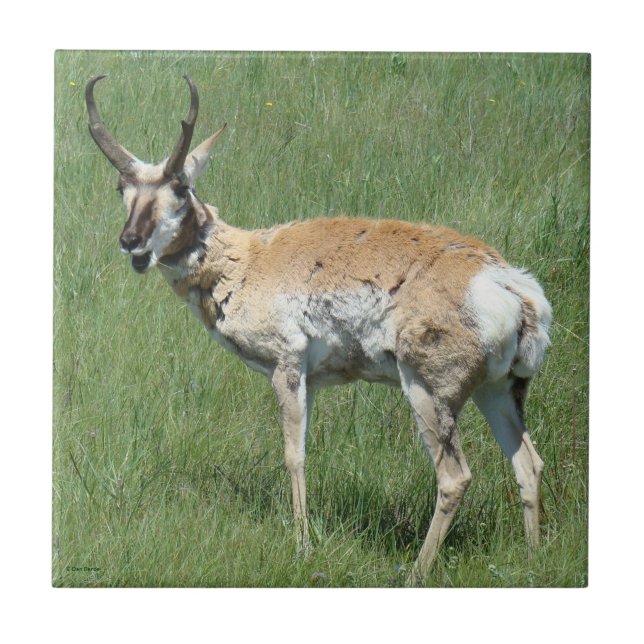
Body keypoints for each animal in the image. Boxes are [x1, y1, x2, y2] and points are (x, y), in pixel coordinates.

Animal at [86, 75, 552, 584]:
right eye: (122, 188)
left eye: (181, 187)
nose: (130, 241)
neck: (248, 260)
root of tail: (508, 283)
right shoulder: (312, 379)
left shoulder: (286, 368)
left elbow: (295, 454)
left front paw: (303, 546)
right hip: (498, 390)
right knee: (528, 464)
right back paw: (532, 560)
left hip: (429, 390)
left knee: (455, 477)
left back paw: (415, 571)